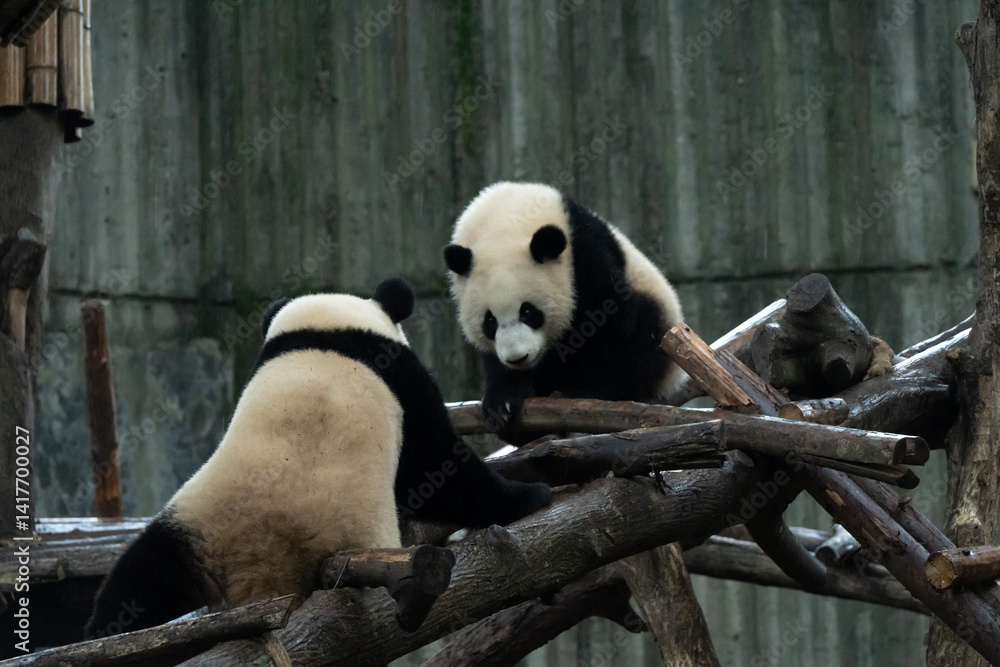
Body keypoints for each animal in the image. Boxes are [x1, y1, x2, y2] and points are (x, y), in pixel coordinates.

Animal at [85, 277, 551, 638]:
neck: (327, 334)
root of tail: (264, 573)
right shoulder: (405, 380)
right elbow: (439, 465)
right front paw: (528, 495)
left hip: (194, 527)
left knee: (137, 581)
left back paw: (100, 632)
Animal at [444, 181, 684, 435]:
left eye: (528, 312)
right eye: (490, 321)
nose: (518, 358)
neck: (507, 219)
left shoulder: (585, 251)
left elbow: (613, 318)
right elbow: (493, 361)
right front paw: (502, 402)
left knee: (636, 351)